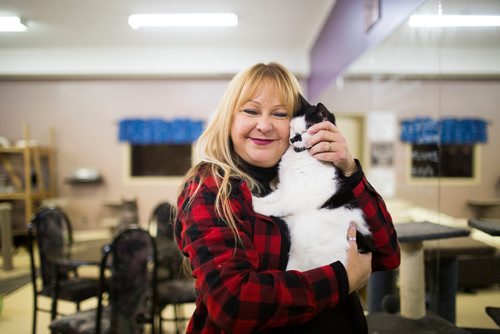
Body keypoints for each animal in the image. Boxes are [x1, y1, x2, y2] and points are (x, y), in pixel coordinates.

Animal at [254, 96, 372, 272]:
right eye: (291, 128)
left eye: (305, 130)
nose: (292, 138)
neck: (300, 156)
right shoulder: (286, 187)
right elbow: (271, 198)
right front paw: (254, 199)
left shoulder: (303, 193)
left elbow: (279, 205)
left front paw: (256, 207)